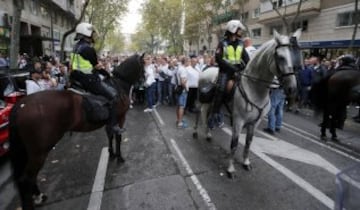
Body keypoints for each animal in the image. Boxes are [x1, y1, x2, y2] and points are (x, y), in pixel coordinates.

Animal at [8, 53, 143, 209]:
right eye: (143, 66)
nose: (142, 83)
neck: (118, 85)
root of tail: (21, 105)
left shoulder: (110, 122)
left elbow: (110, 135)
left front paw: (112, 153)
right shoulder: (120, 118)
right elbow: (118, 137)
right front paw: (120, 157)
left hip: (28, 151)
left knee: (27, 177)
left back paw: (39, 196)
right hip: (39, 151)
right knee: (26, 179)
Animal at [193, 29, 302, 177]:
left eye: (295, 55)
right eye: (280, 57)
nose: (292, 88)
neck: (254, 89)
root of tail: (206, 69)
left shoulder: (254, 123)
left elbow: (248, 143)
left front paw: (245, 162)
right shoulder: (238, 121)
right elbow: (234, 144)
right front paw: (230, 169)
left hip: (213, 103)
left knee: (209, 115)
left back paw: (209, 134)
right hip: (201, 100)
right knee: (199, 113)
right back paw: (195, 132)